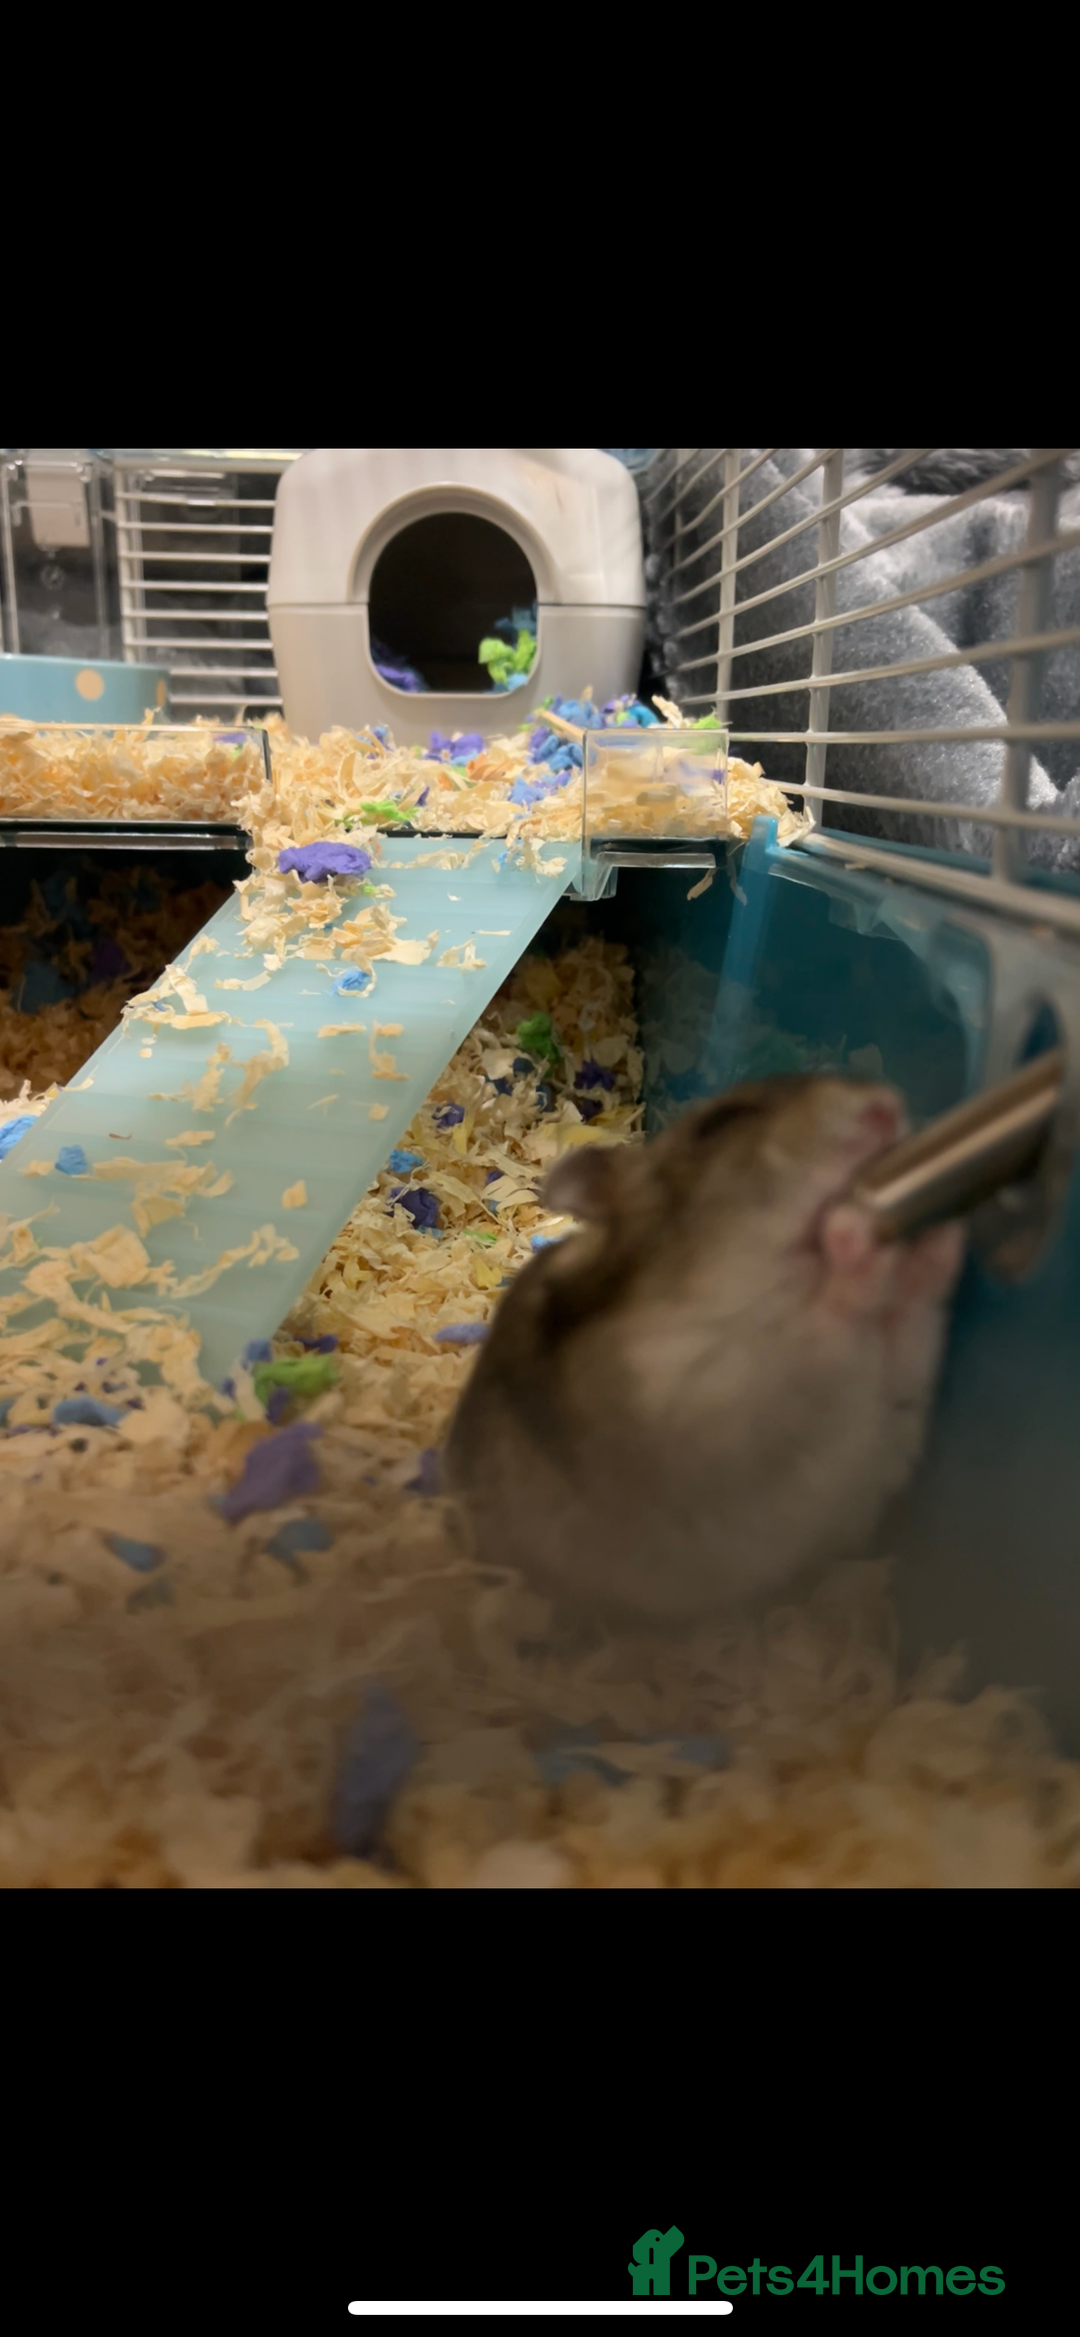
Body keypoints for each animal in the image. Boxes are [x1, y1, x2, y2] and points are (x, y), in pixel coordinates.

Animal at [443, 1076, 966, 1630]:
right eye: (720, 1122)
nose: (886, 1104)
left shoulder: (888, 1421)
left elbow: (908, 1332)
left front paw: (938, 1241)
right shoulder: (710, 1403)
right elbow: (823, 1336)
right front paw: (856, 1236)